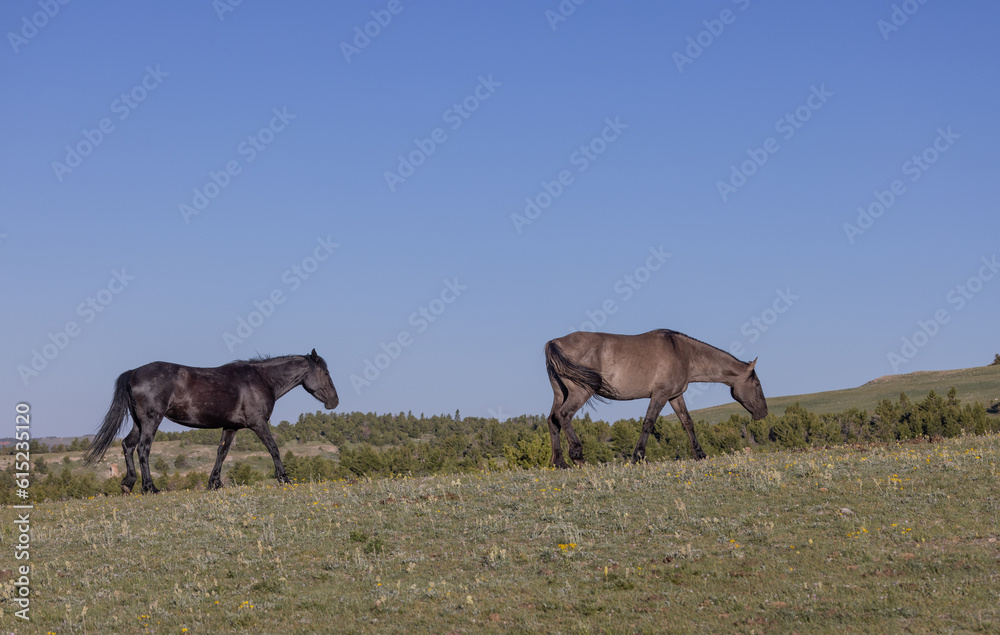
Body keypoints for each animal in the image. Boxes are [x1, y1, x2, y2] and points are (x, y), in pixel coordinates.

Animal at [84, 350, 340, 494]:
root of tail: (134, 372)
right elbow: (274, 448)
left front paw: (214, 483)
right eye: (326, 373)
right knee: (143, 449)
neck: (261, 379)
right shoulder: (258, 424)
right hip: (150, 420)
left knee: (128, 445)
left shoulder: (231, 426)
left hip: (139, 422)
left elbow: (221, 453)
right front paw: (284, 479)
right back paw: (150, 488)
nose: (334, 401)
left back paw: (128, 483)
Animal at [548, 332, 764, 468]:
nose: (763, 412)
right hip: (579, 392)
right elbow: (648, 423)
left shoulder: (675, 396)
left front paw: (700, 454)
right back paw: (577, 456)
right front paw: (638, 456)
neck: (683, 353)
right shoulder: (660, 395)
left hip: (560, 394)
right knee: (564, 415)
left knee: (553, 421)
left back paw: (560, 462)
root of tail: (554, 342)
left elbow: (687, 422)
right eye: (757, 384)